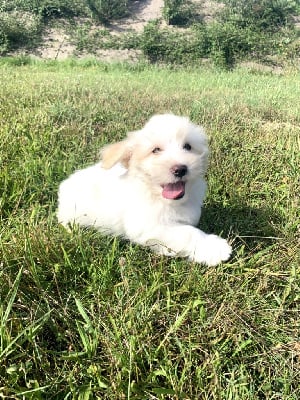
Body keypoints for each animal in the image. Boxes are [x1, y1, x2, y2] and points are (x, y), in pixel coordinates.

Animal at [58, 114, 232, 268]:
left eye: (188, 146)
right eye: (155, 150)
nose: (180, 169)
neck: (161, 199)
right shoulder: (149, 226)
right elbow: (188, 233)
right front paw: (215, 248)